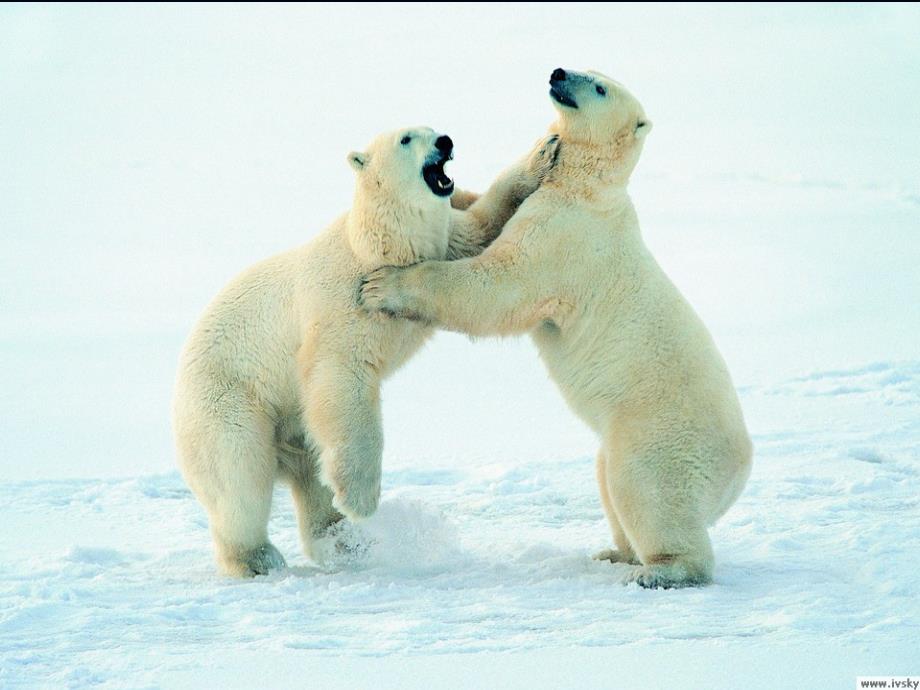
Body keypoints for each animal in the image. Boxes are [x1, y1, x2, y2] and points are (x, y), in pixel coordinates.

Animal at [173, 125, 560, 576]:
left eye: (434, 128)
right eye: (407, 139)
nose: (445, 141)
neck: (377, 246)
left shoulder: (445, 243)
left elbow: (479, 229)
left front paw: (543, 154)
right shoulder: (341, 306)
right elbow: (343, 379)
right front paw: (360, 500)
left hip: (296, 430)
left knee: (313, 478)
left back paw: (344, 542)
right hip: (229, 402)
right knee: (240, 479)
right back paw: (258, 559)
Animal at [360, 68, 756, 584]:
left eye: (601, 87)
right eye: (584, 68)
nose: (558, 73)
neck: (588, 190)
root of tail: (739, 472)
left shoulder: (562, 238)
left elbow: (498, 286)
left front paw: (383, 285)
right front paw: (537, 151)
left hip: (660, 433)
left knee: (645, 488)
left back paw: (659, 570)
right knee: (609, 481)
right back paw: (617, 553)